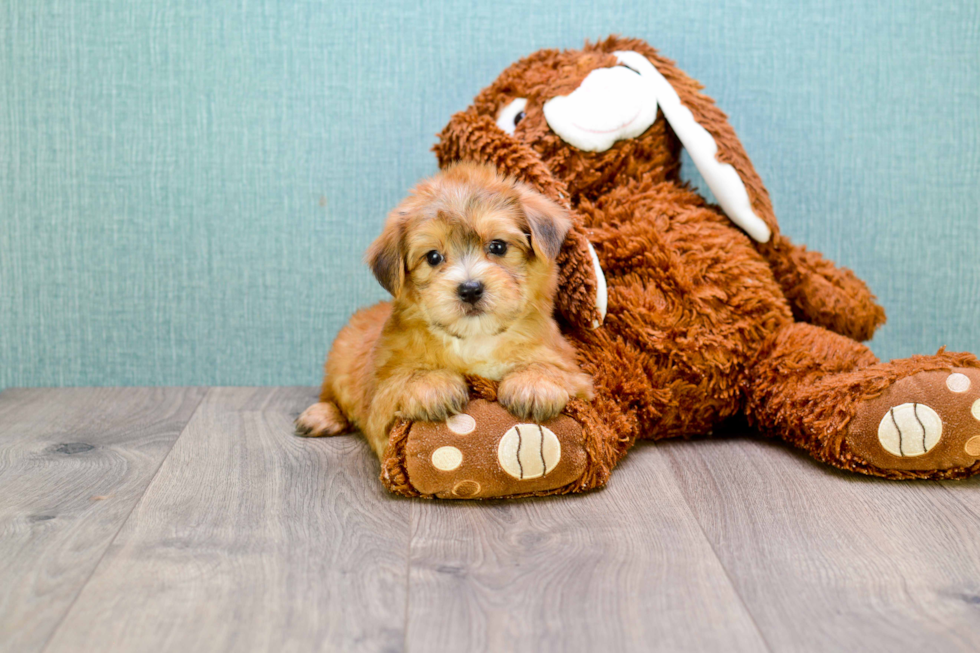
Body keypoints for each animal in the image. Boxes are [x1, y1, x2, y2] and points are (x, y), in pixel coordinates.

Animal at [294, 162, 592, 458]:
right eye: (433, 257)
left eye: (497, 246)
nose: (470, 289)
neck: (475, 339)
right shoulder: (380, 398)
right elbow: (404, 379)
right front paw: (433, 385)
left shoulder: (574, 371)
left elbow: (552, 367)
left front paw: (534, 383)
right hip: (339, 360)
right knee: (331, 395)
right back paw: (322, 415)